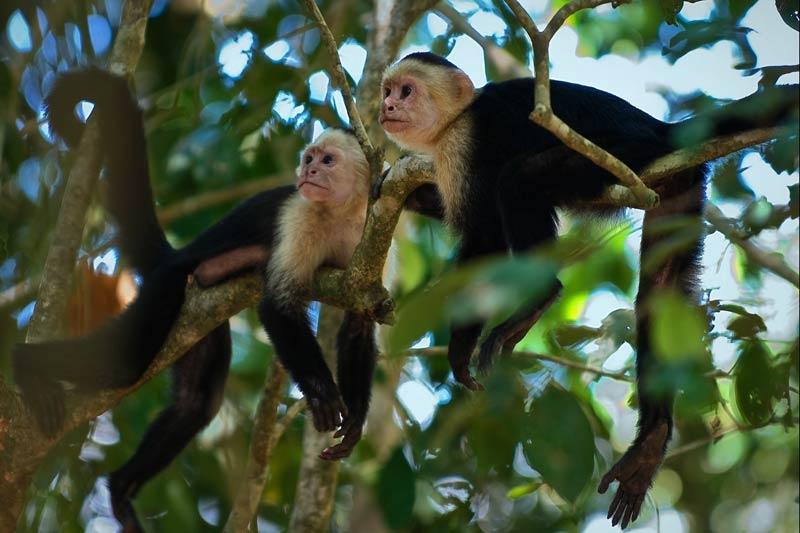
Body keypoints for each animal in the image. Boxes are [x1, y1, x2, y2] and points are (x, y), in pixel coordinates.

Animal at [12, 68, 380, 528]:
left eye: (326, 160)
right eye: (309, 158)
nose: (308, 170)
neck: (340, 214)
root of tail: (174, 257)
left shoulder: (366, 234)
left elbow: (358, 320)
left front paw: (357, 420)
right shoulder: (300, 216)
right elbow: (276, 304)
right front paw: (321, 393)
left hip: (197, 324)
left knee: (196, 404)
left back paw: (121, 488)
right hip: (168, 285)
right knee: (127, 363)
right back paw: (26, 366)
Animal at [376, 53, 800, 528]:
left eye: (406, 91)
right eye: (388, 91)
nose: (387, 107)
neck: (455, 120)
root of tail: (660, 129)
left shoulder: (466, 143)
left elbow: (485, 239)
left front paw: (460, 346)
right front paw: (388, 187)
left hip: (619, 154)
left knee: (520, 178)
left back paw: (539, 297)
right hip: (678, 181)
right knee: (658, 293)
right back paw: (652, 441)